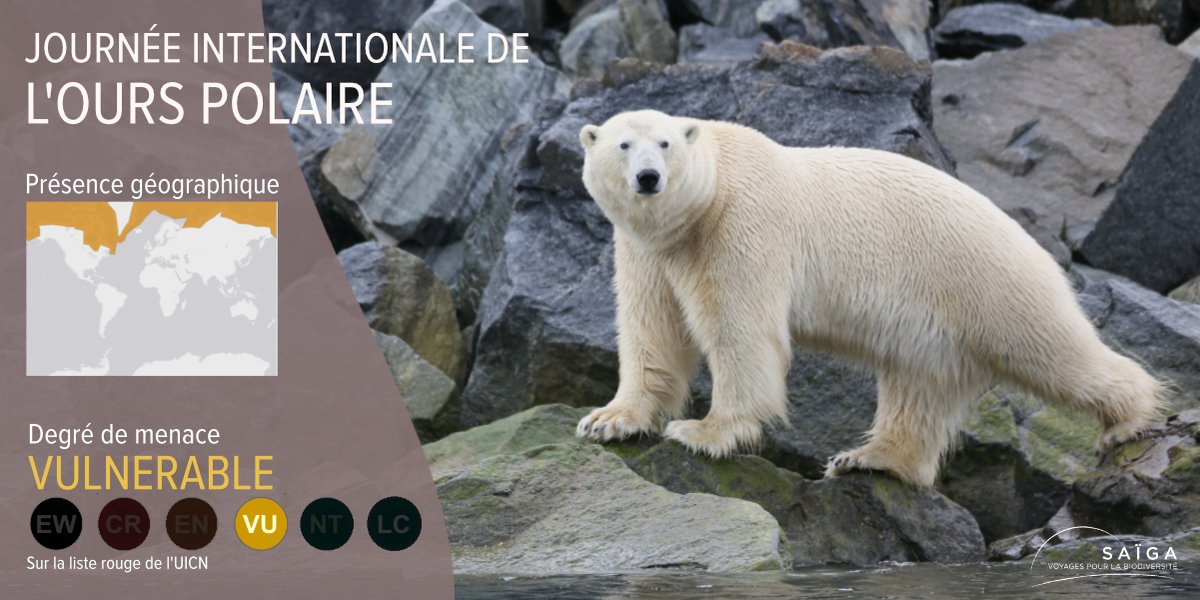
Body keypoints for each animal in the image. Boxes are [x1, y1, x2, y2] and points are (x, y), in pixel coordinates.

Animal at [573, 109, 1164, 487]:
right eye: (623, 145)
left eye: (665, 144)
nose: (648, 177)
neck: (706, 201)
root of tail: (1032, 241)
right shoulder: (649, 250)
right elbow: (652, 328)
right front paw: (609, 420)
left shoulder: (741, 227)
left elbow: (740, 329)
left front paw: (702, 431)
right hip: (936, 322)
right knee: (919, 387)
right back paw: (868, 459)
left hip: (988, 281)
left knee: (1052, 352)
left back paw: (1126, 422)